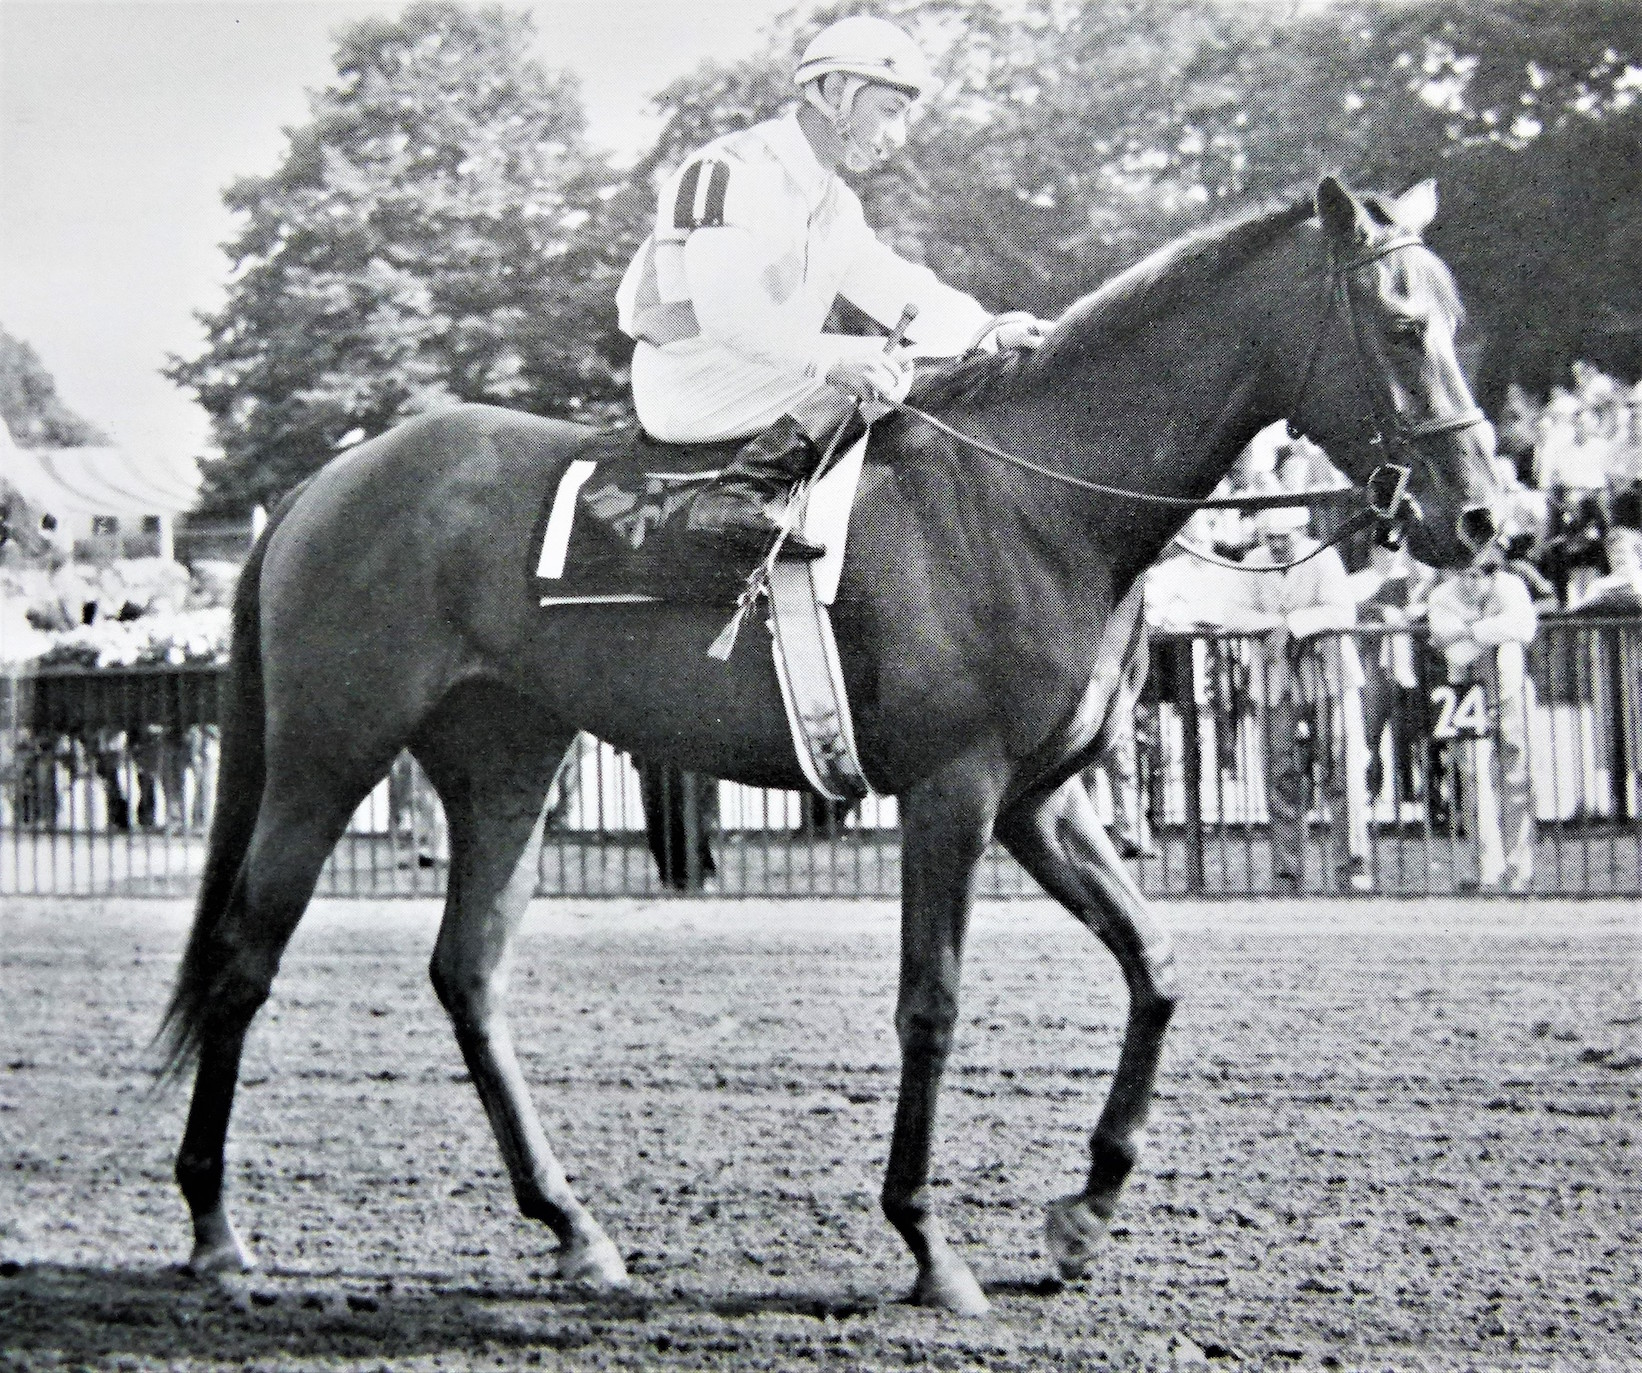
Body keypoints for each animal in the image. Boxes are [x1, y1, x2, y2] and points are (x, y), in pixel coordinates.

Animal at [160, 174, 1497, 1320]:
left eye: (1457, 319)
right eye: (1397, 324)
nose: (1482, 515)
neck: (1037, 503)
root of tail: (324, 481)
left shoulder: (1042, 802)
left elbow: (1155, 966)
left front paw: (1084, 1209)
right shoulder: (954, 792)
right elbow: (932, 1003)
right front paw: (929, 1243)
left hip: (506, 761)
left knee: (468, 973)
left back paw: (574, 1226)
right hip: (328, 755)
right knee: (244, 957)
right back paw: (218, 1232)